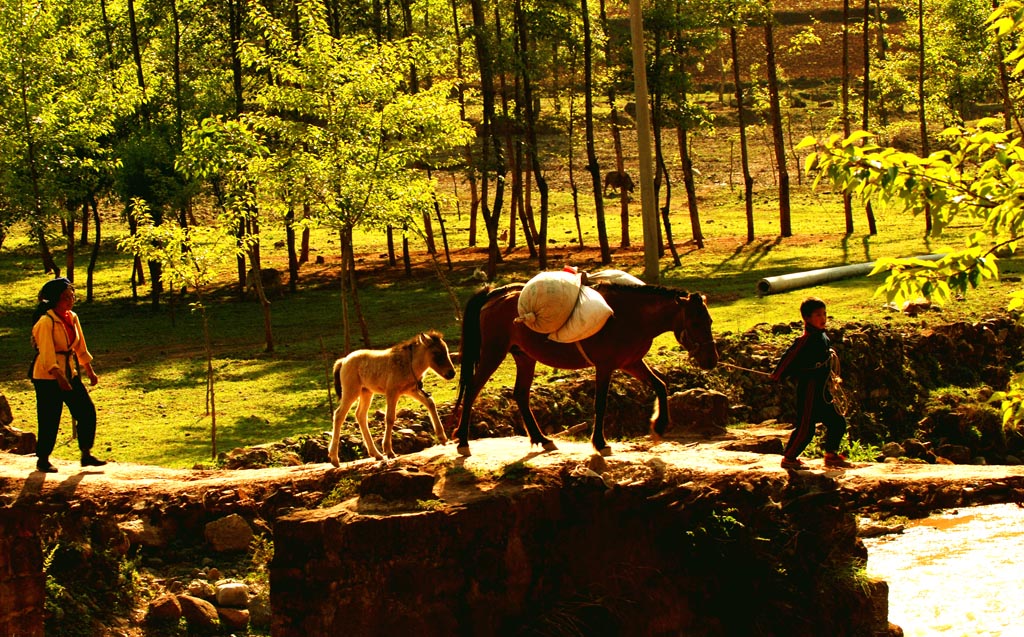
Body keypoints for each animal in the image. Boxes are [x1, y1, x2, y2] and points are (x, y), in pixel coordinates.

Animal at [456, 282, 720, 456]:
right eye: (695, 322)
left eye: (709, 321)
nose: (711, 360)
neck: (630, 316)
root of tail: (495, 295)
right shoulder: (606, 366)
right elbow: (600, 403)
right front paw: (600, 442)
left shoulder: (631, 363)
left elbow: (661, 385)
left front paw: (660, 424)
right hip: (493, 353)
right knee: (472, 389)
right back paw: (463, 441)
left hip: (524, 357)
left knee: (520, 394)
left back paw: (542, 439)